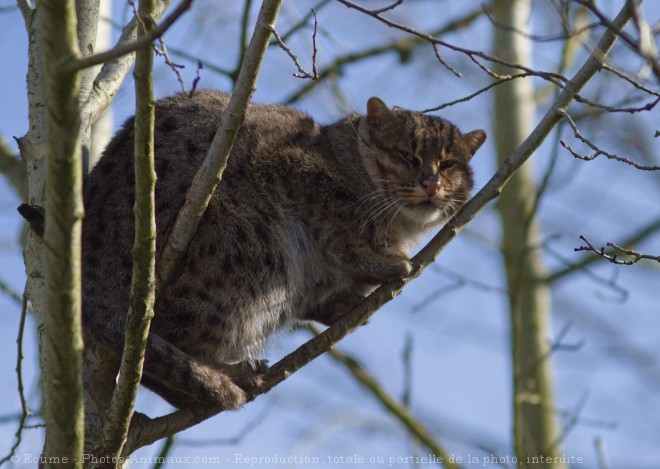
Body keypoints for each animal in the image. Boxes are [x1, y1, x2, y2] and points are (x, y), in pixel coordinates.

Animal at [21, 90, 484, 410]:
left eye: (448, 164)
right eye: (409, 156)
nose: (431, 183)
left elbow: (318, 296)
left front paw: (346, 301)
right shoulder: (294, 170)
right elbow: (340, 233)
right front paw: (381, 263)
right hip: (252, 243)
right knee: (160, 338)